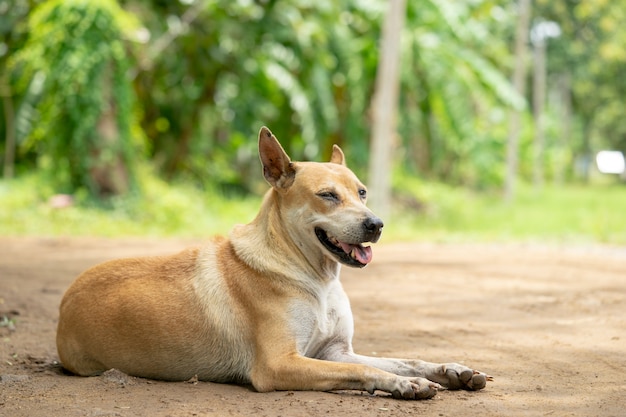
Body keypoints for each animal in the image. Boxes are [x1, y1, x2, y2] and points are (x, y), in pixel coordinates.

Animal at [56, 127, 488, 400]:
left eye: (362, 192)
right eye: (328, 196)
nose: (376, 224)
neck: (316, 279)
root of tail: (63, 304)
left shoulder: (336, 352)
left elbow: (404, 359)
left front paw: (449, 370)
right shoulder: (279, 365)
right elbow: (371, 371)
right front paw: (405, 385)